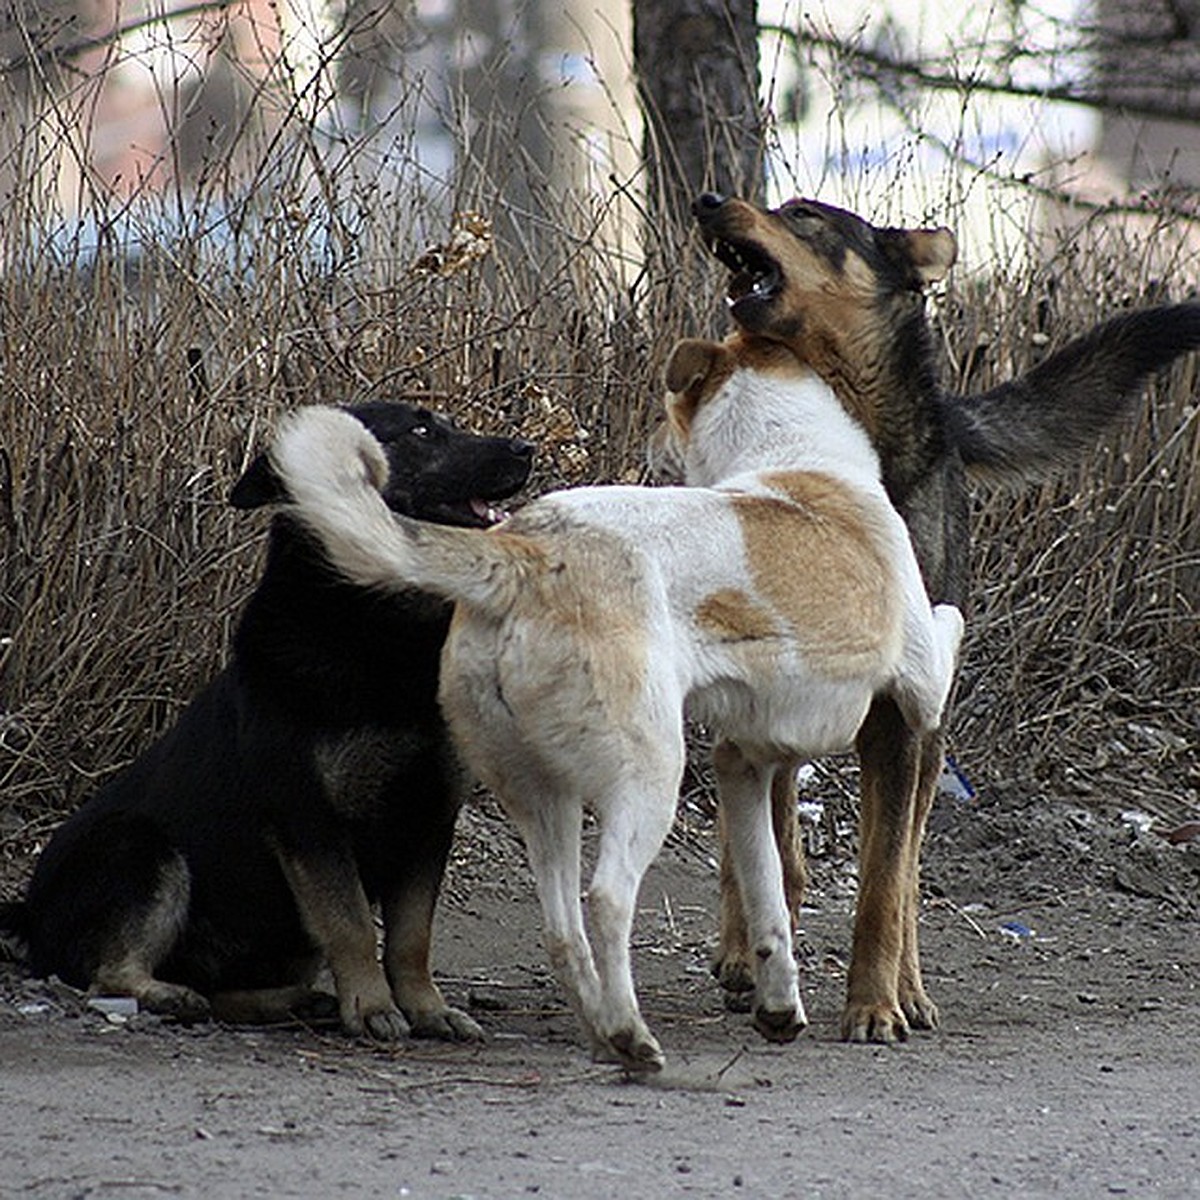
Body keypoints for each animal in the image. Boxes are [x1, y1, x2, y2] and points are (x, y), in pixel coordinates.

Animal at [0, 403, 535, 1041]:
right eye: (422, 431)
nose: (526, 450)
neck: (377, 634)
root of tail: (27, 912)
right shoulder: (310, 819)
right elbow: (353, 924)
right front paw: (372, 1006)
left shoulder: (428, 817)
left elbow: (411, 937)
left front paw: (425, 1008)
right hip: (142, 847)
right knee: (107, 976)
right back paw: (170, 994)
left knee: (226, 990)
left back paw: (289, 1002)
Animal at [265, 338, 964, 1070]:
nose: (648, 443)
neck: (794, 454)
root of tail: (528, 550)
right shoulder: (919, 685)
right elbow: (948, 624)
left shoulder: (743, 768)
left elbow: (767, 894)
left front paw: (777, 1006)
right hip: (649, 777)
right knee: (604, 902)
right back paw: (633, 1035)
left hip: (544, 799)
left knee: (563, 929)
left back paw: (604, 1031)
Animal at [691, 192, 1200, 1046]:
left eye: (803, 214)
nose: (706, 201)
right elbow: (774, 849)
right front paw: (766, 956)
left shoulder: (902, 726)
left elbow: (884, 883)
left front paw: (875, 1003)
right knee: (762, 838)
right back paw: (742, 950)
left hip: (926, 742)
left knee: (902, 866)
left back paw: (909, 988)